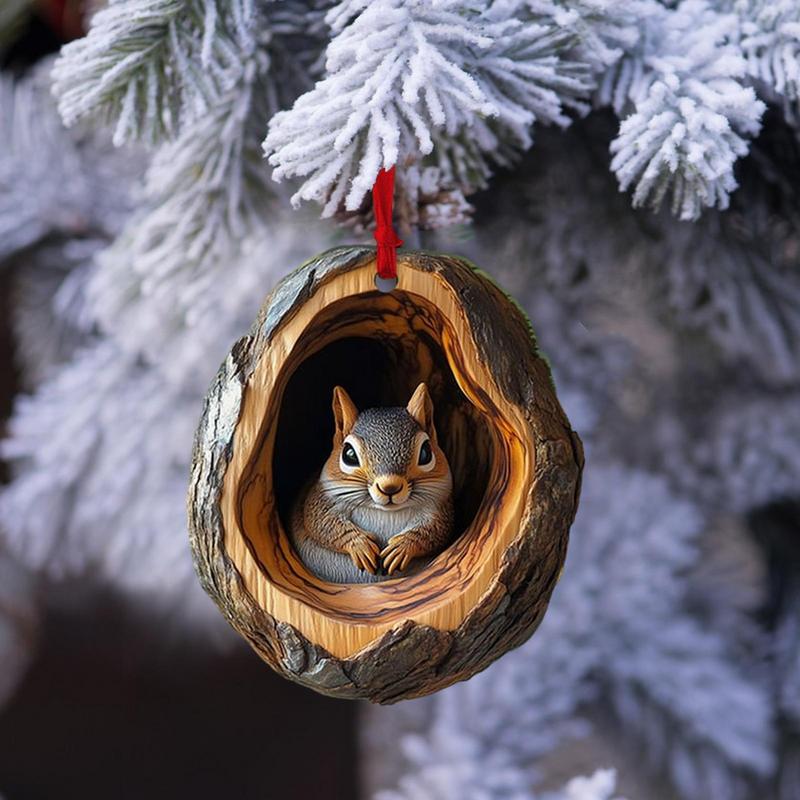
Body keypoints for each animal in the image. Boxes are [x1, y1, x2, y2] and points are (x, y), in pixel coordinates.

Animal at [290, 383, 454, 584]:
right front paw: (359, 545)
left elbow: (437, 530)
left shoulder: (438, 508)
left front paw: (402, 547)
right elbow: (321, 523)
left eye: (426, 453)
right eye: (348, 454)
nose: (389, 487)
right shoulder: (322, 499)